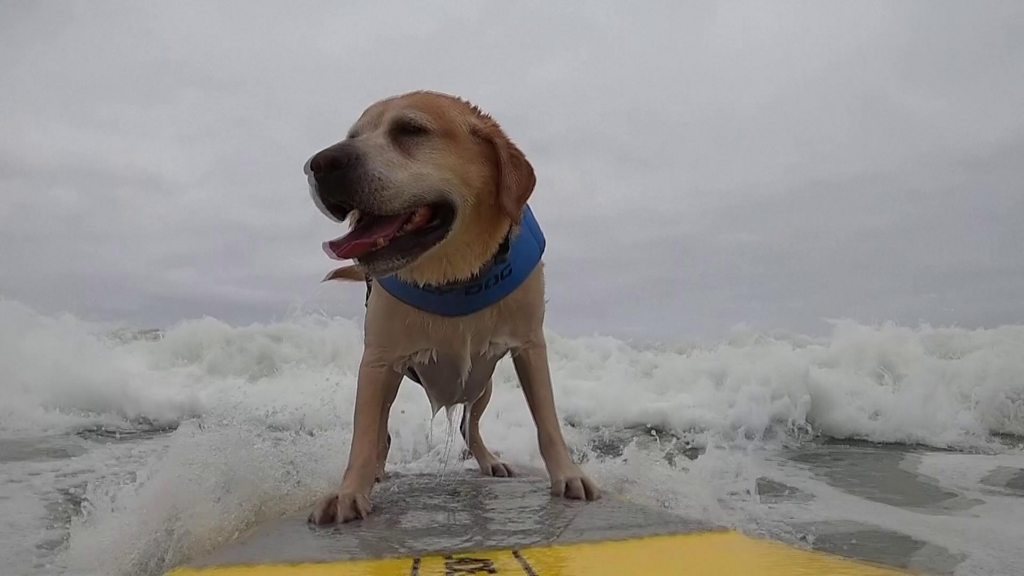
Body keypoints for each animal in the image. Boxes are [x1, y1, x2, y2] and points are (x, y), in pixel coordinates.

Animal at [301, 90, 598, 524]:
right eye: (352, 135)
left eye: (410, 130)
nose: (319, 164)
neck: (455, 278)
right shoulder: (377, 363)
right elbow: (364, 435)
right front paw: (349, 491)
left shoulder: (530, 347)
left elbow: (547, 421)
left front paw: (567, 474)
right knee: (382, 433)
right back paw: (377, 471)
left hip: (483, 387)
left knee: (468, 428)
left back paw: (489, 461)